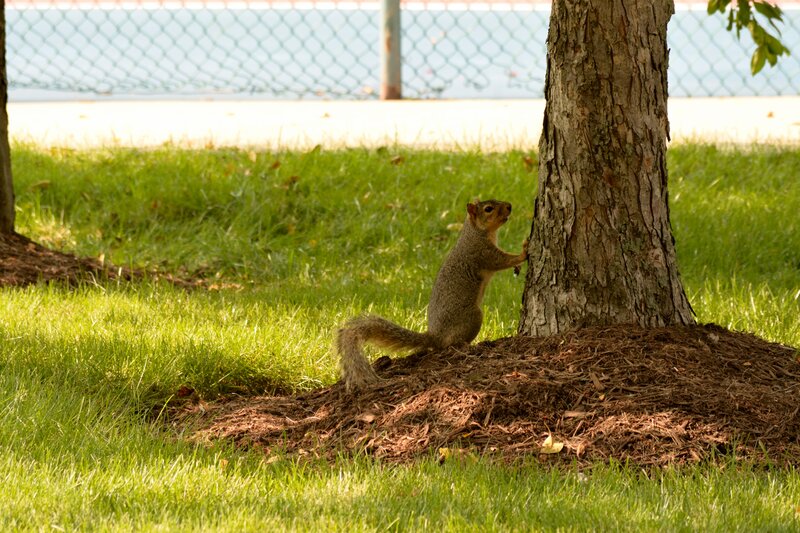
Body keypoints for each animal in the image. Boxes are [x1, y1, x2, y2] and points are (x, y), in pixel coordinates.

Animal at [337, 198, 528, 391]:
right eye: (489, 209)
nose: (509, 206)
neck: (477, 232)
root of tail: (435, 336)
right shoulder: (482, 252)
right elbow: (501, 260)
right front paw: (523, 252)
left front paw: (518, 266)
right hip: (473, 317)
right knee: (450, 345)